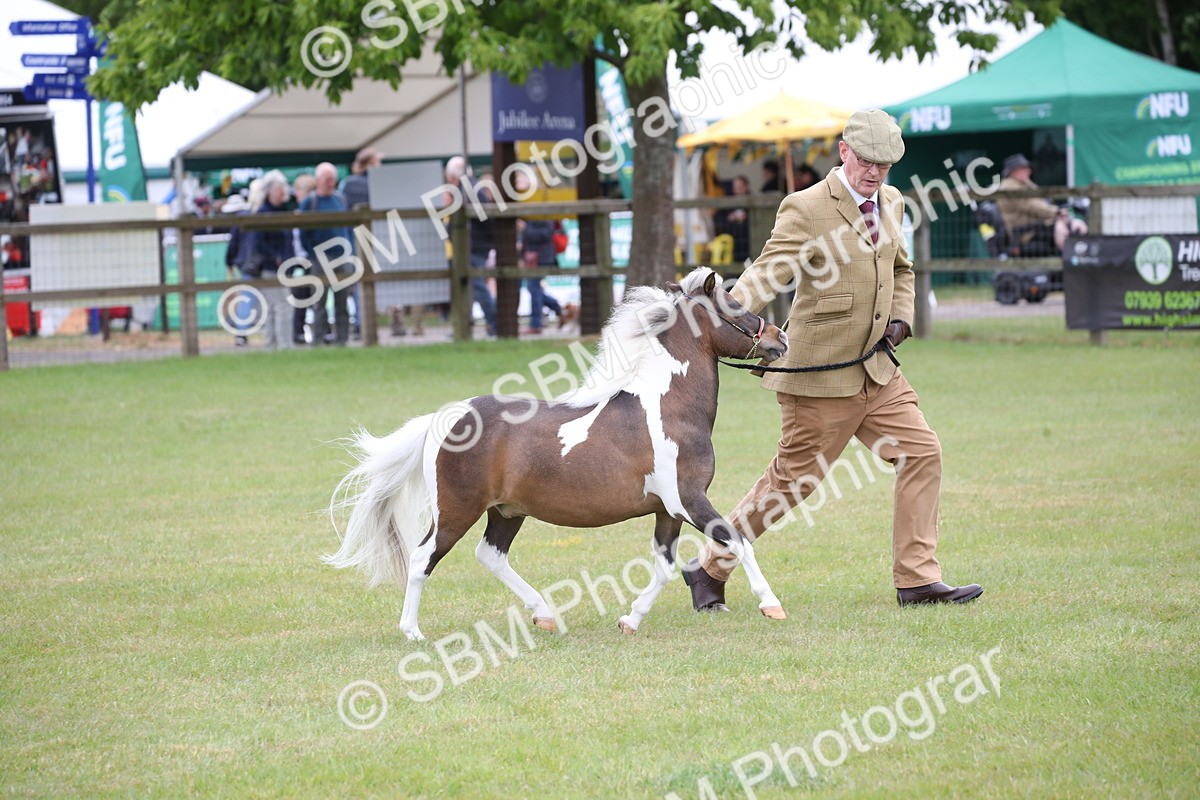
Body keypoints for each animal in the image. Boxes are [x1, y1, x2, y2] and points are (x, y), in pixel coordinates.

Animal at [325, 267, 790, 640]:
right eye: (733, 305)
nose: (780, 337)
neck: (669, 407)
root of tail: (447, 417)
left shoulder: (668, 510)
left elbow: (663, 566)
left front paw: (630, 620)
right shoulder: (689, 500)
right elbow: (739, 542)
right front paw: (771, 605)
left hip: (507, 511)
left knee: (490, 555)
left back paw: (544, 615)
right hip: (457, 511)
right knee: (424, 558)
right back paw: (413, 632)